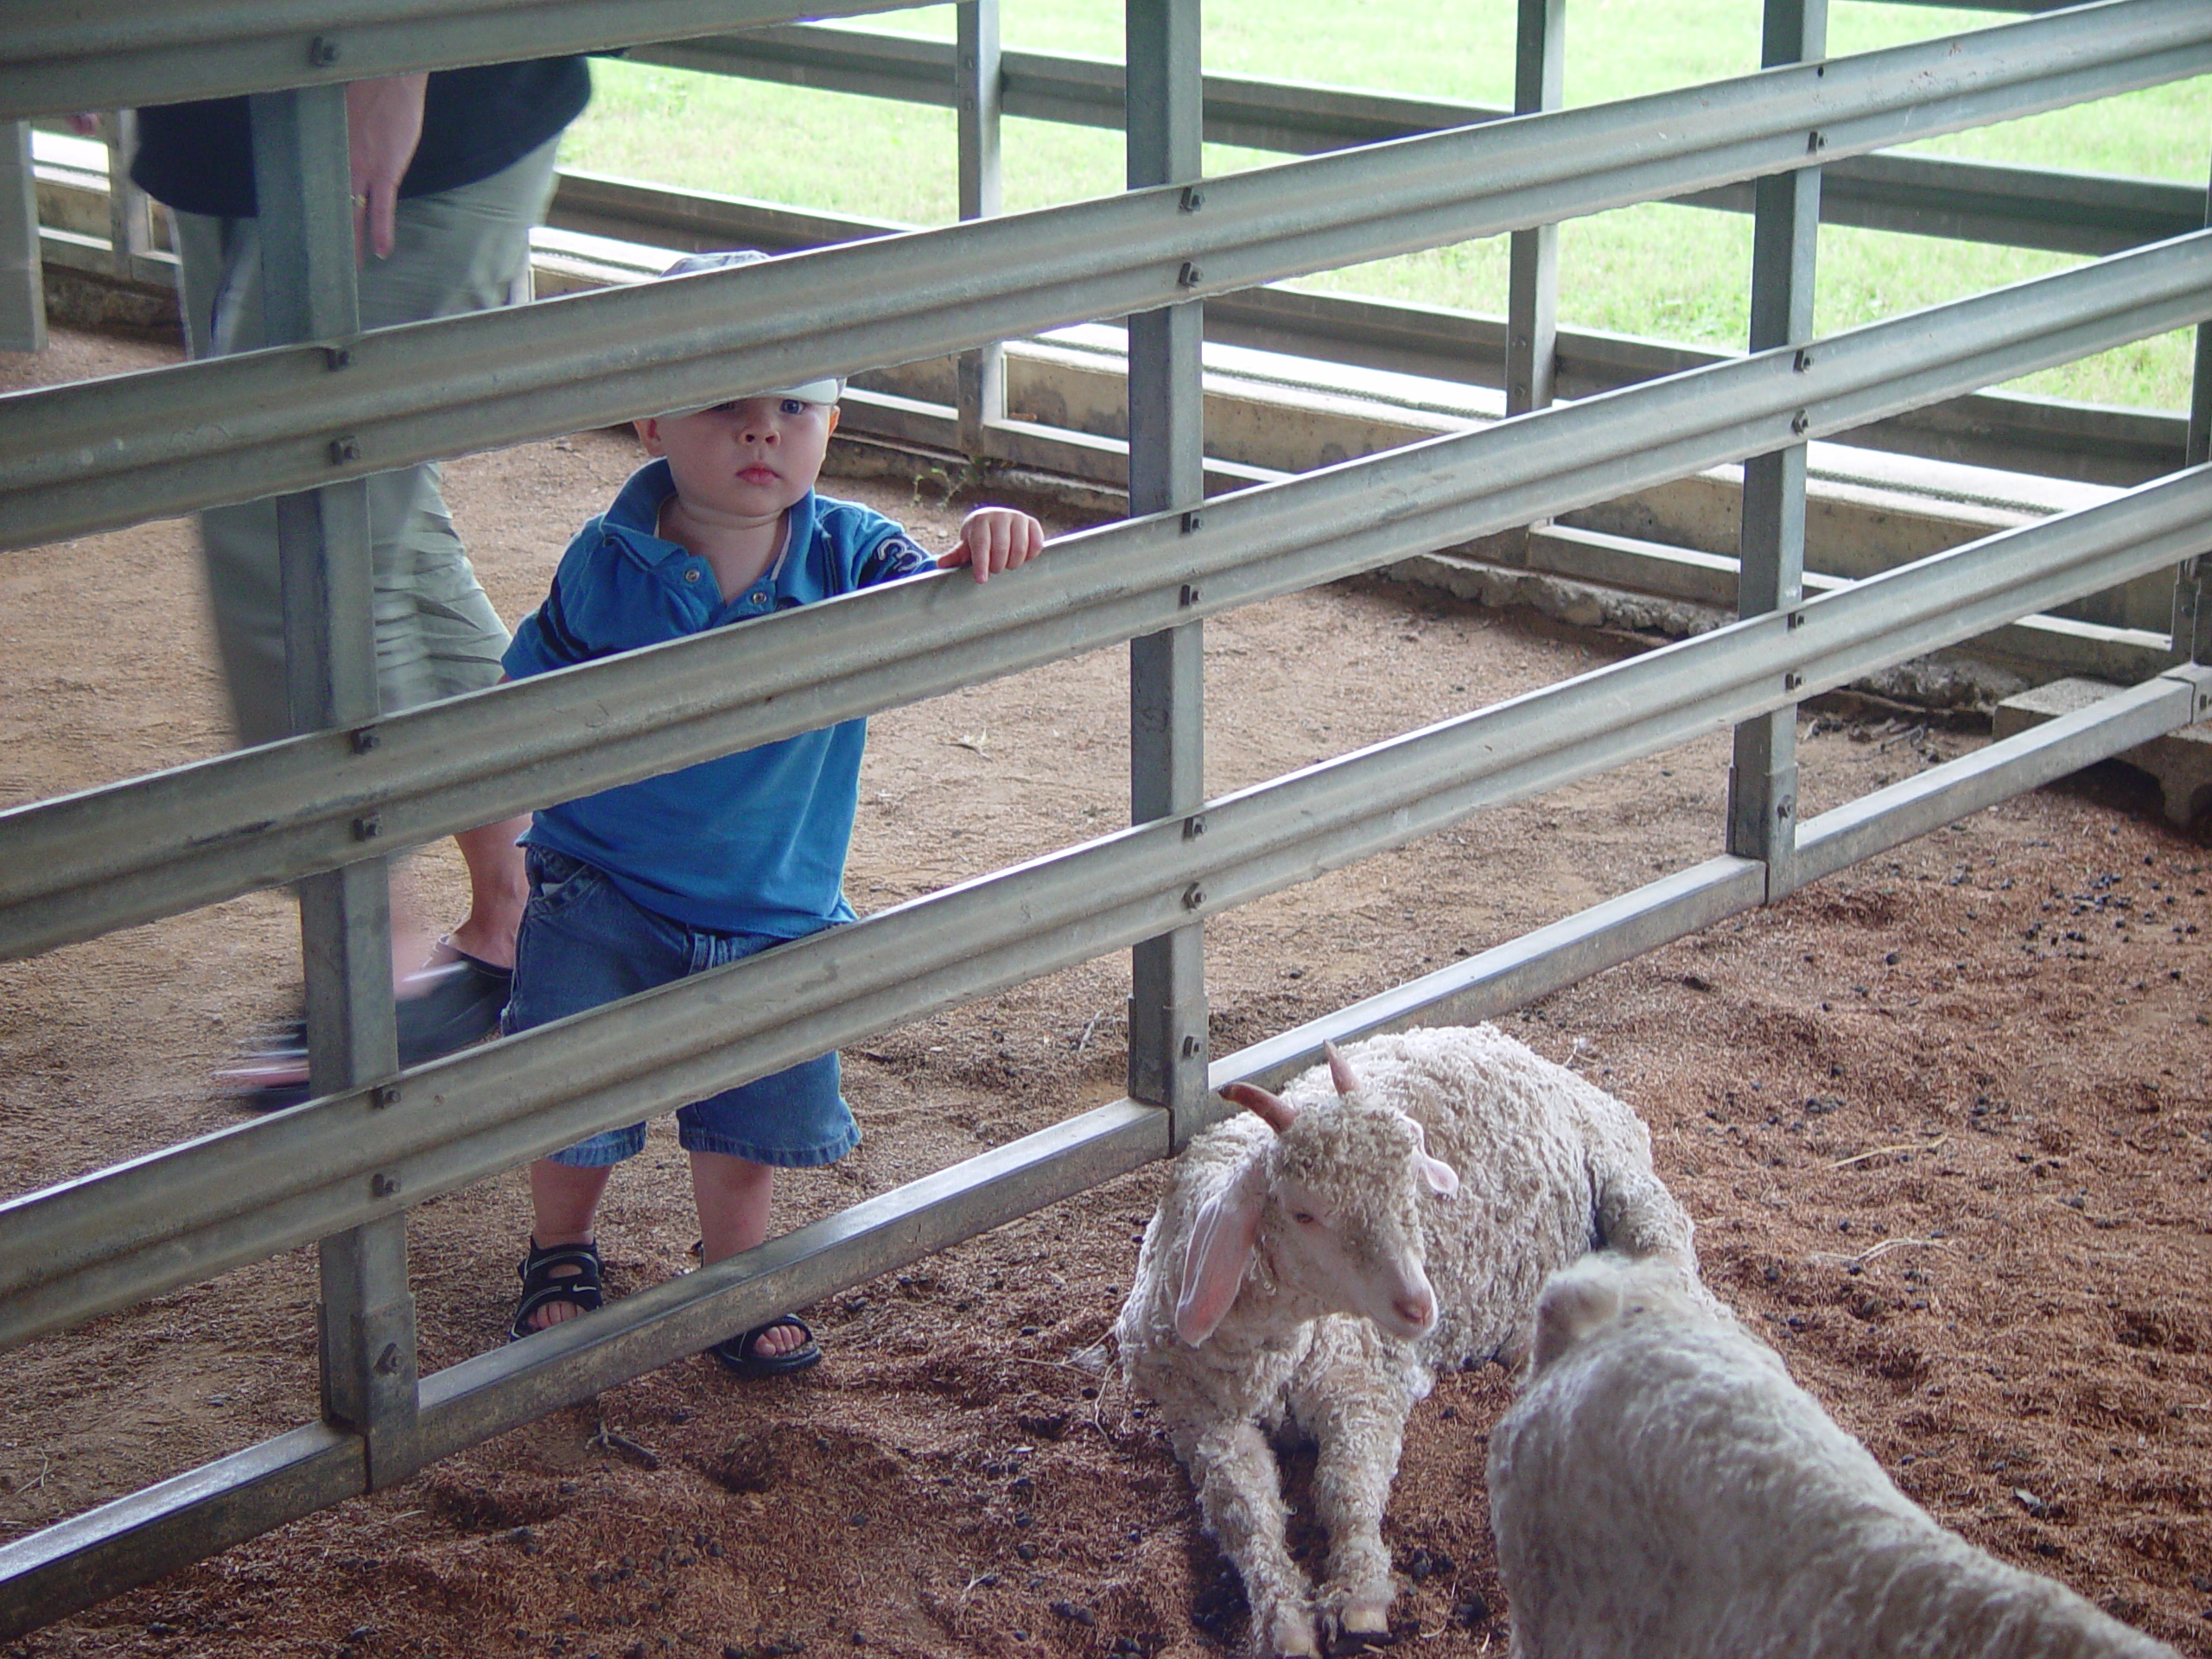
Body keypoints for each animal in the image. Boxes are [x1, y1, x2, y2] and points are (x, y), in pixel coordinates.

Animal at [1115, 1026, 1699, 1659]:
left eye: (1408, 1184)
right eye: (1303, 1213)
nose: (1420, 1305)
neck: (1277, 1354)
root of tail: (1523, 1050)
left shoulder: (1363, 1380)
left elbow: (1347, 1483)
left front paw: (1360, 1602)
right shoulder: (1202, 1422)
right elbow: (1245, 1514)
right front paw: (1285, 1620)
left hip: (1626, 1178)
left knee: (1672, 1262)